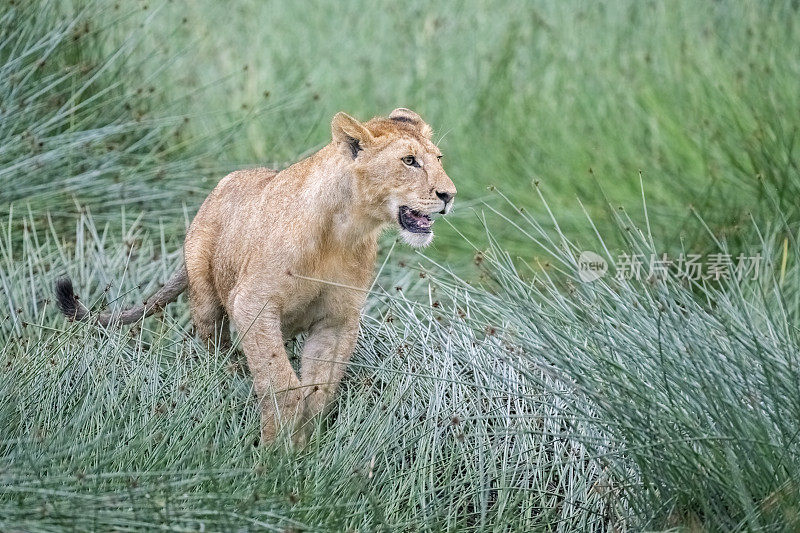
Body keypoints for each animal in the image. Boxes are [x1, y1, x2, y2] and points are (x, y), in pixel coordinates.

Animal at [56, 106, 456, 442]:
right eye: (409, 161)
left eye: (438, 159)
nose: (449, 195)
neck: (346, 229)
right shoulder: (252, 303)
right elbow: (280, 381)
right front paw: (273, 452)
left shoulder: (338, 319)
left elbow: (319, 391)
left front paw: (303, 454)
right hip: (207, 300)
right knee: (213, 347)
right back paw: (222, 381)